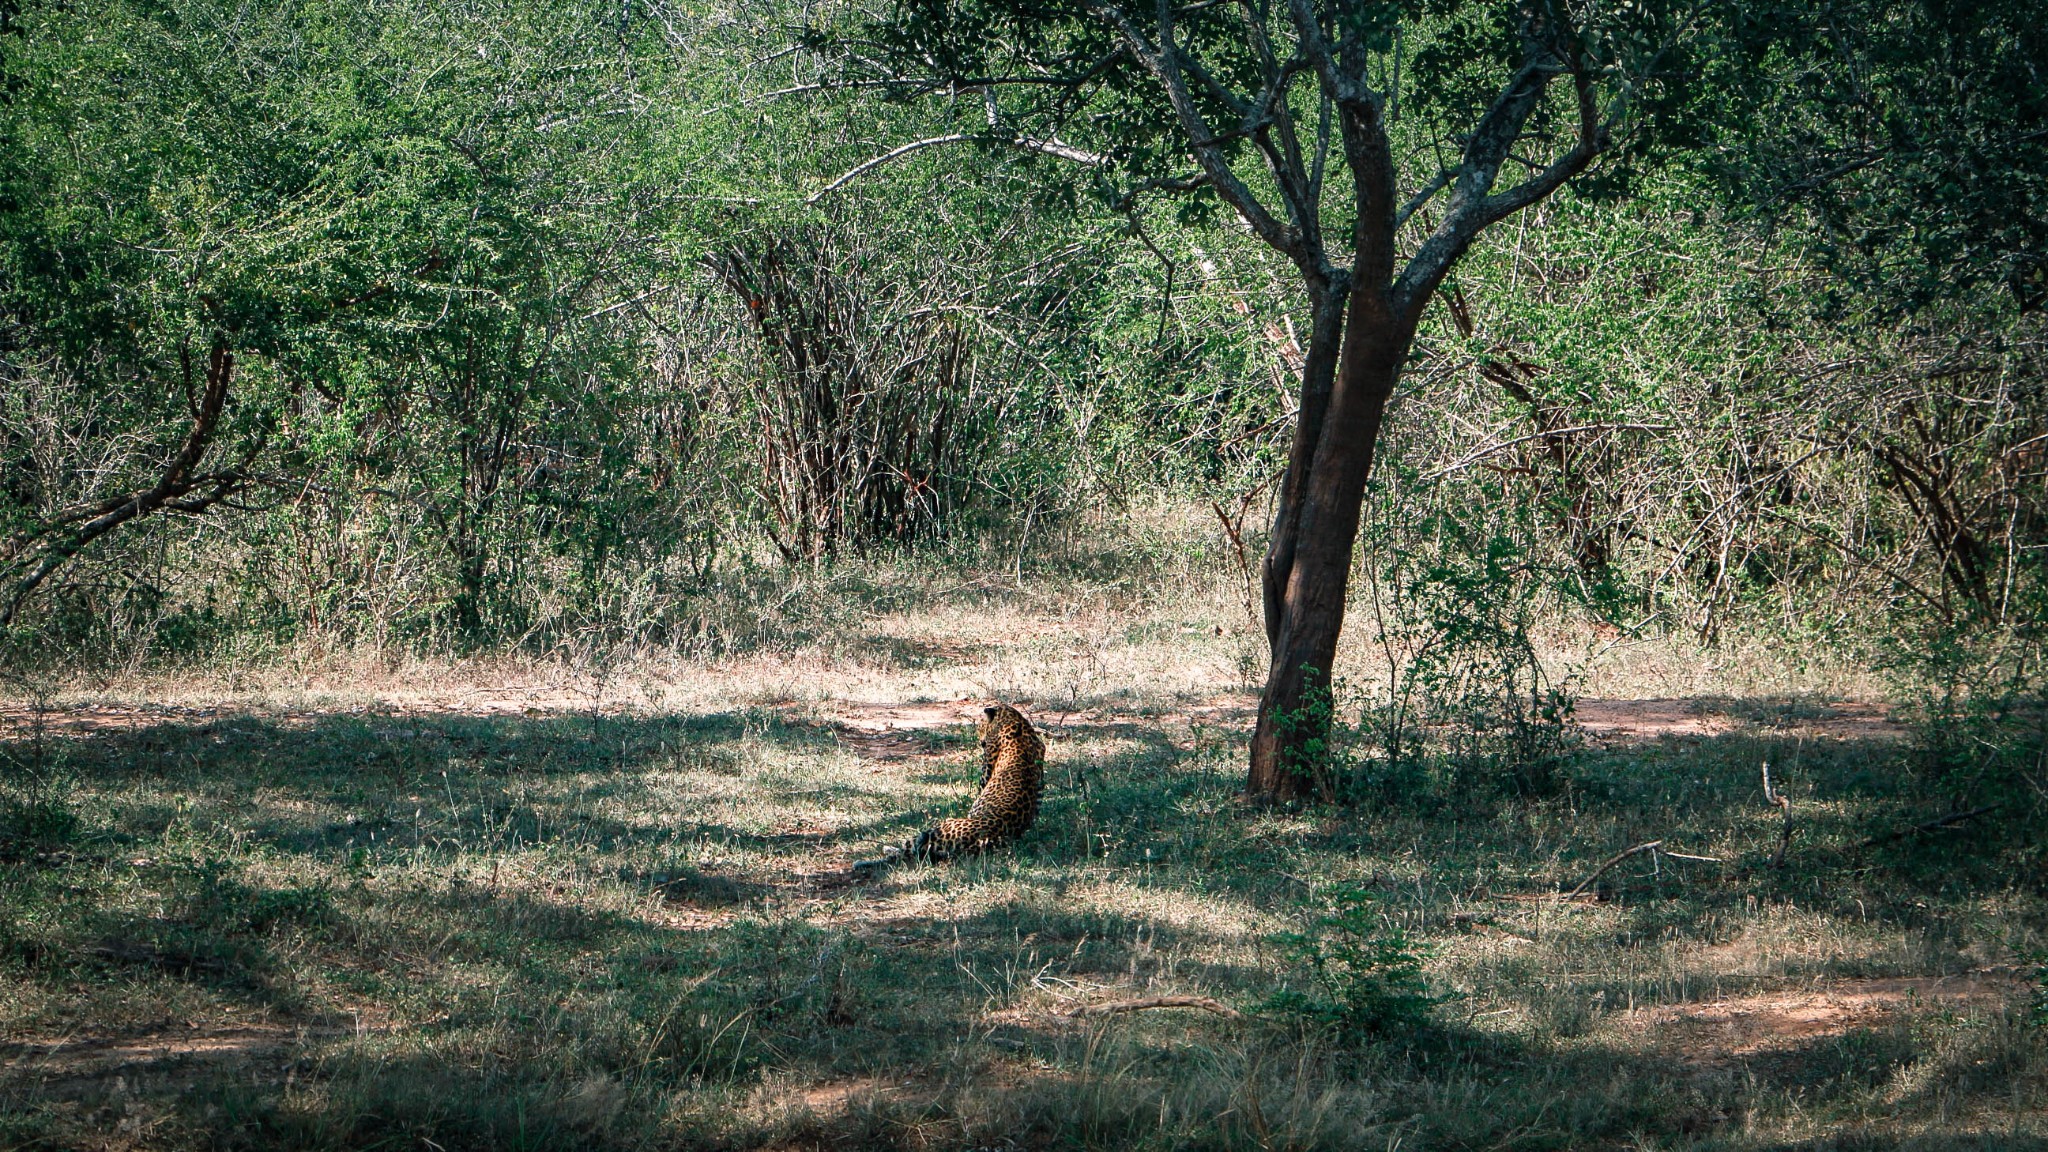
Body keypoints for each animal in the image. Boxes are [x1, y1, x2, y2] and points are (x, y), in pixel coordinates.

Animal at [851, 701, 1040, 869]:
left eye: (980, 726)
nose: (980, 740)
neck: (1016, 722)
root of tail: (982, 839)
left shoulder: (986, 768)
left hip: (939, 828)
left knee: (906, 850)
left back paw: (871, 857)